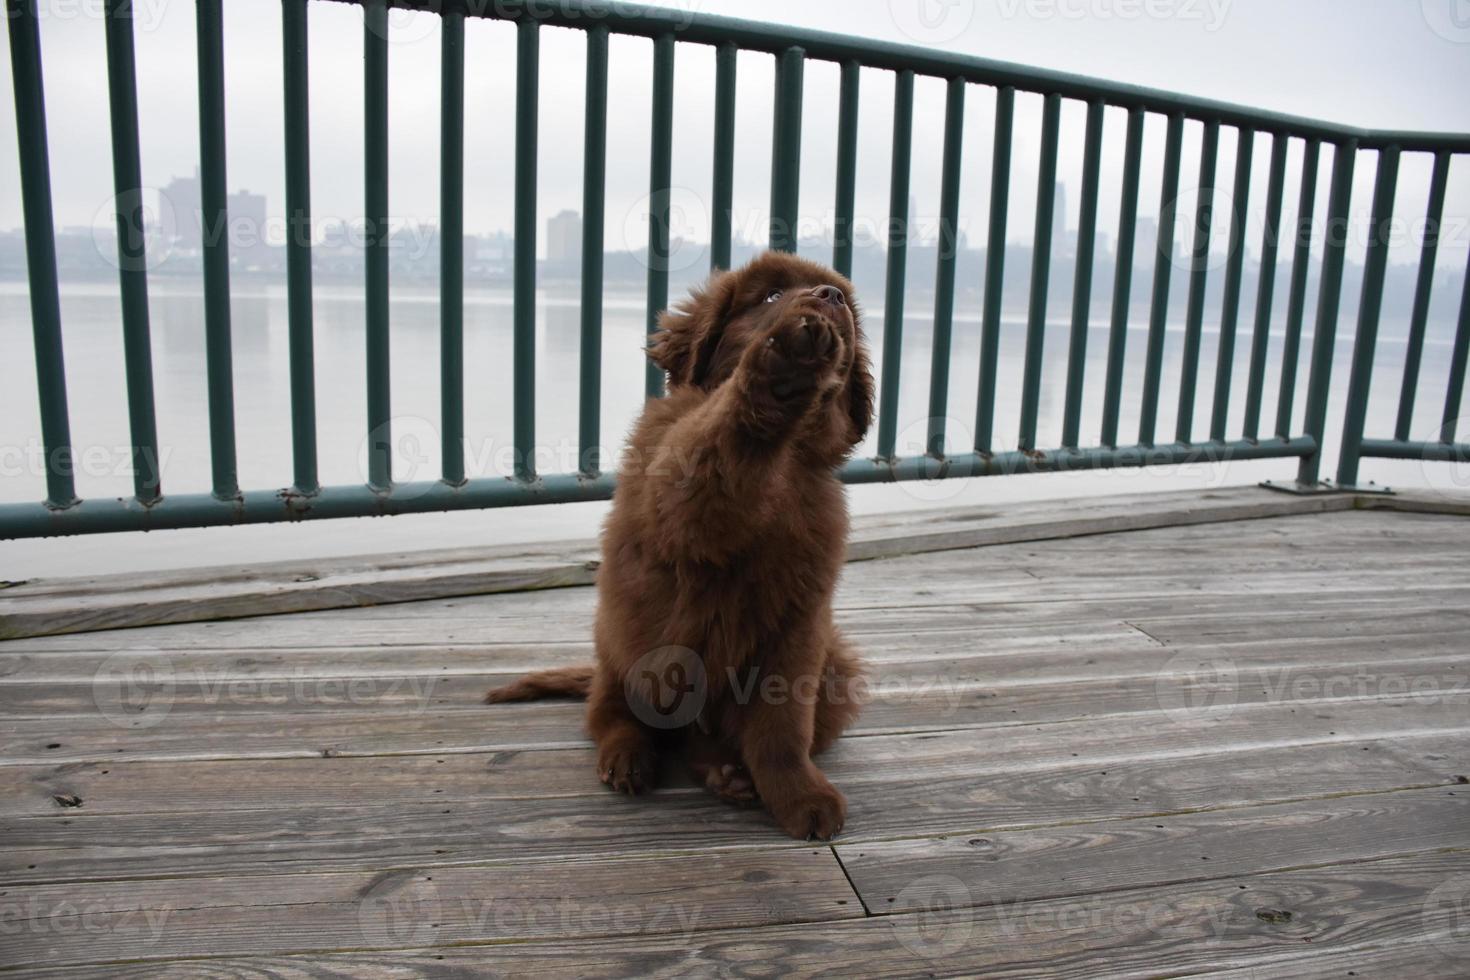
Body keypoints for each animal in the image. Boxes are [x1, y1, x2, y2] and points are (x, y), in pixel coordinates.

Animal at [488, 249, 870, 840]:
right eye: (769, 295)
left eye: (842, 299)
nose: (828, 299)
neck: (787, 459)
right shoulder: (679, 494)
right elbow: (713, 447)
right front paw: (782, 371)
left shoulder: (798, 629)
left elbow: (782, 727)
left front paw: (798, 794)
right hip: (624, 648)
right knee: (609, 713)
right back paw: (627, 756)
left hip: (836, 666)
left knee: (705, 736)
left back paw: (722, 771)